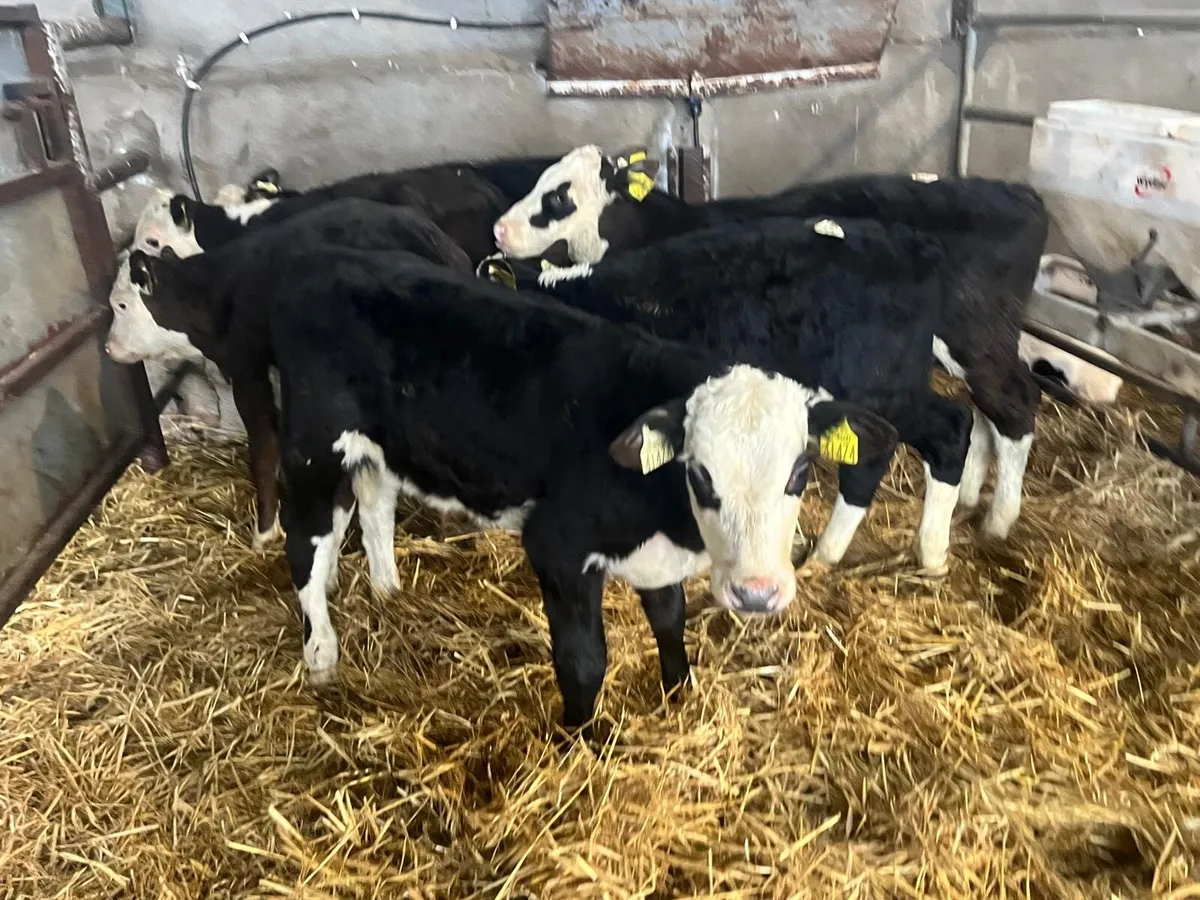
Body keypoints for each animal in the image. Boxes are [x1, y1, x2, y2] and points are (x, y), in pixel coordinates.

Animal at [256, 243, 897, 733]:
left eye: (799, 470)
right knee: (306, 543)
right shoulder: (558, 546)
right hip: (312, 446)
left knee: (374, 504)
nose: (757, 594)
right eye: (699, 473)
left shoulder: (654, 557)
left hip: (378, 450)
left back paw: (388, 589)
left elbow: (670, 618)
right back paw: (321, 654)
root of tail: (323, 263)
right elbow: (583, 659)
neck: (667, 516)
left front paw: (679, 693)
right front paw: (582, 740)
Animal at [492, 147, 1048, 540]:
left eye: (559, 195)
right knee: (988, 411)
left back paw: (994, 521)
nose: (499, 229)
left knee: (1011, 405)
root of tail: (1020, 193)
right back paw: (974, 498)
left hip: (970, 341)